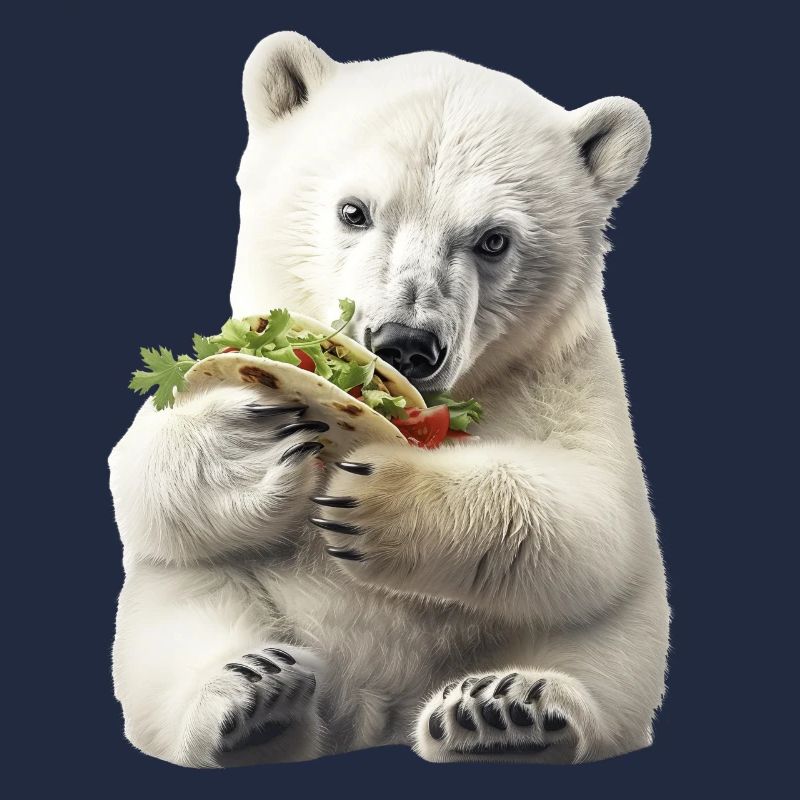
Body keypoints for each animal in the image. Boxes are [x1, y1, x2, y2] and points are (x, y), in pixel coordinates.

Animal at [109, 31, 669, 767]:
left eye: (494, 240)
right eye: (355, 210)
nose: (406, 344)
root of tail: (372, 712)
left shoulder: (566, 370)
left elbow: (595, 512)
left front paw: (376, 499)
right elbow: (139, 480)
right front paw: (253, 440)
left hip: (611, 629)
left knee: (605, 655)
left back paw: (503, 711)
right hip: (212, 596)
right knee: (180, 623)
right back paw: (253, 702)